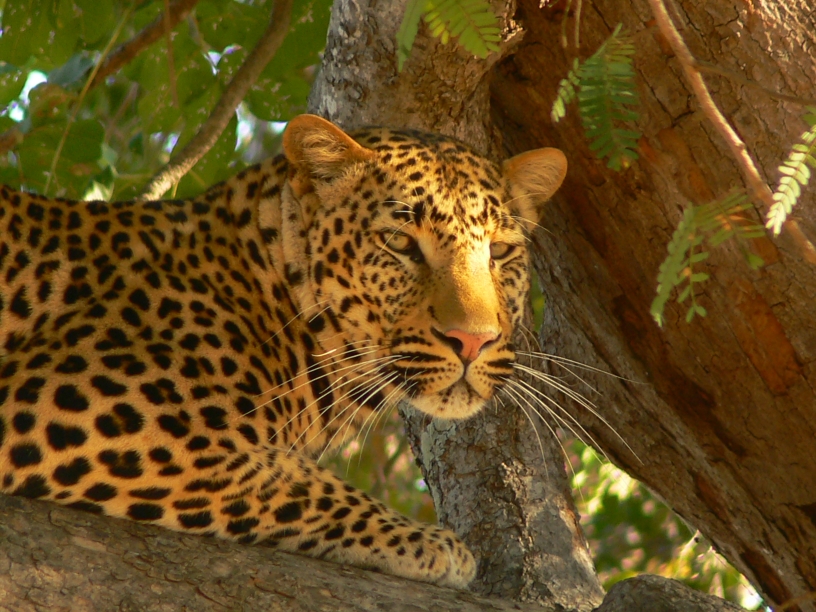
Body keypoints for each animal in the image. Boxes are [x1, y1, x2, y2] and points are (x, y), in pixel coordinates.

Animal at [0, 114, 566, 588]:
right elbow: (284, 475)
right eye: (400, 243)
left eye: (500, 252)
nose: (473, 340)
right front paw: (432, 544)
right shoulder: (62, 406)